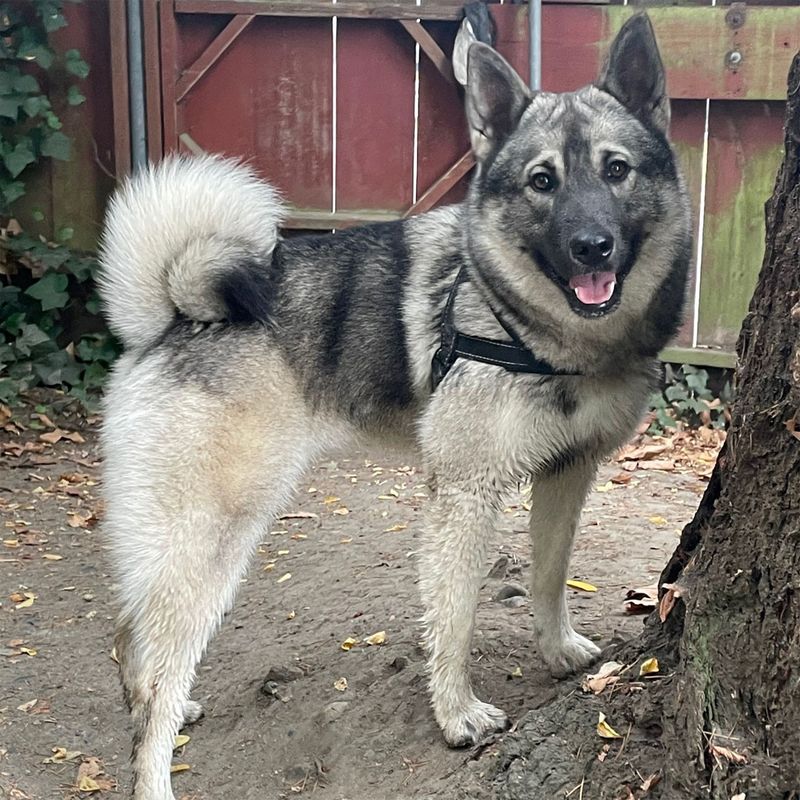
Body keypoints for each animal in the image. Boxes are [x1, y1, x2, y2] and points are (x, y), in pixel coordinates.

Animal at [98, 14, 688, 800]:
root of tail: (169, 314)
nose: (591, 245)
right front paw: (457, 713)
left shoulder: (568, 474)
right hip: (211, 539)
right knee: (154, 675)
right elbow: (456, 614)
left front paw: (558, 648)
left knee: (133, 641)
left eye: (616, 170)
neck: (533, 329)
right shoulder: (465, 497)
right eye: (542, 182)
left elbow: (549, 574)